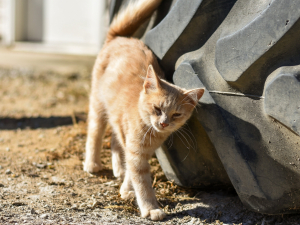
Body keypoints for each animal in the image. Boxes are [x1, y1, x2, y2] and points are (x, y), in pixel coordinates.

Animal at [84, 0, 205, 221]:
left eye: (176, 114)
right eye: (157, 109)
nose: (164, 123)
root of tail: (120, 37)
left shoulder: (139, 152)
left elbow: (132, 171)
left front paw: (126, 189)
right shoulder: (136, 154)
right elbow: (142, 182)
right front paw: (150, 207)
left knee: (115, 140)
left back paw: (118, 168)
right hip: (98, 104)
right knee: (95, 133)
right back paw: (92, 163)